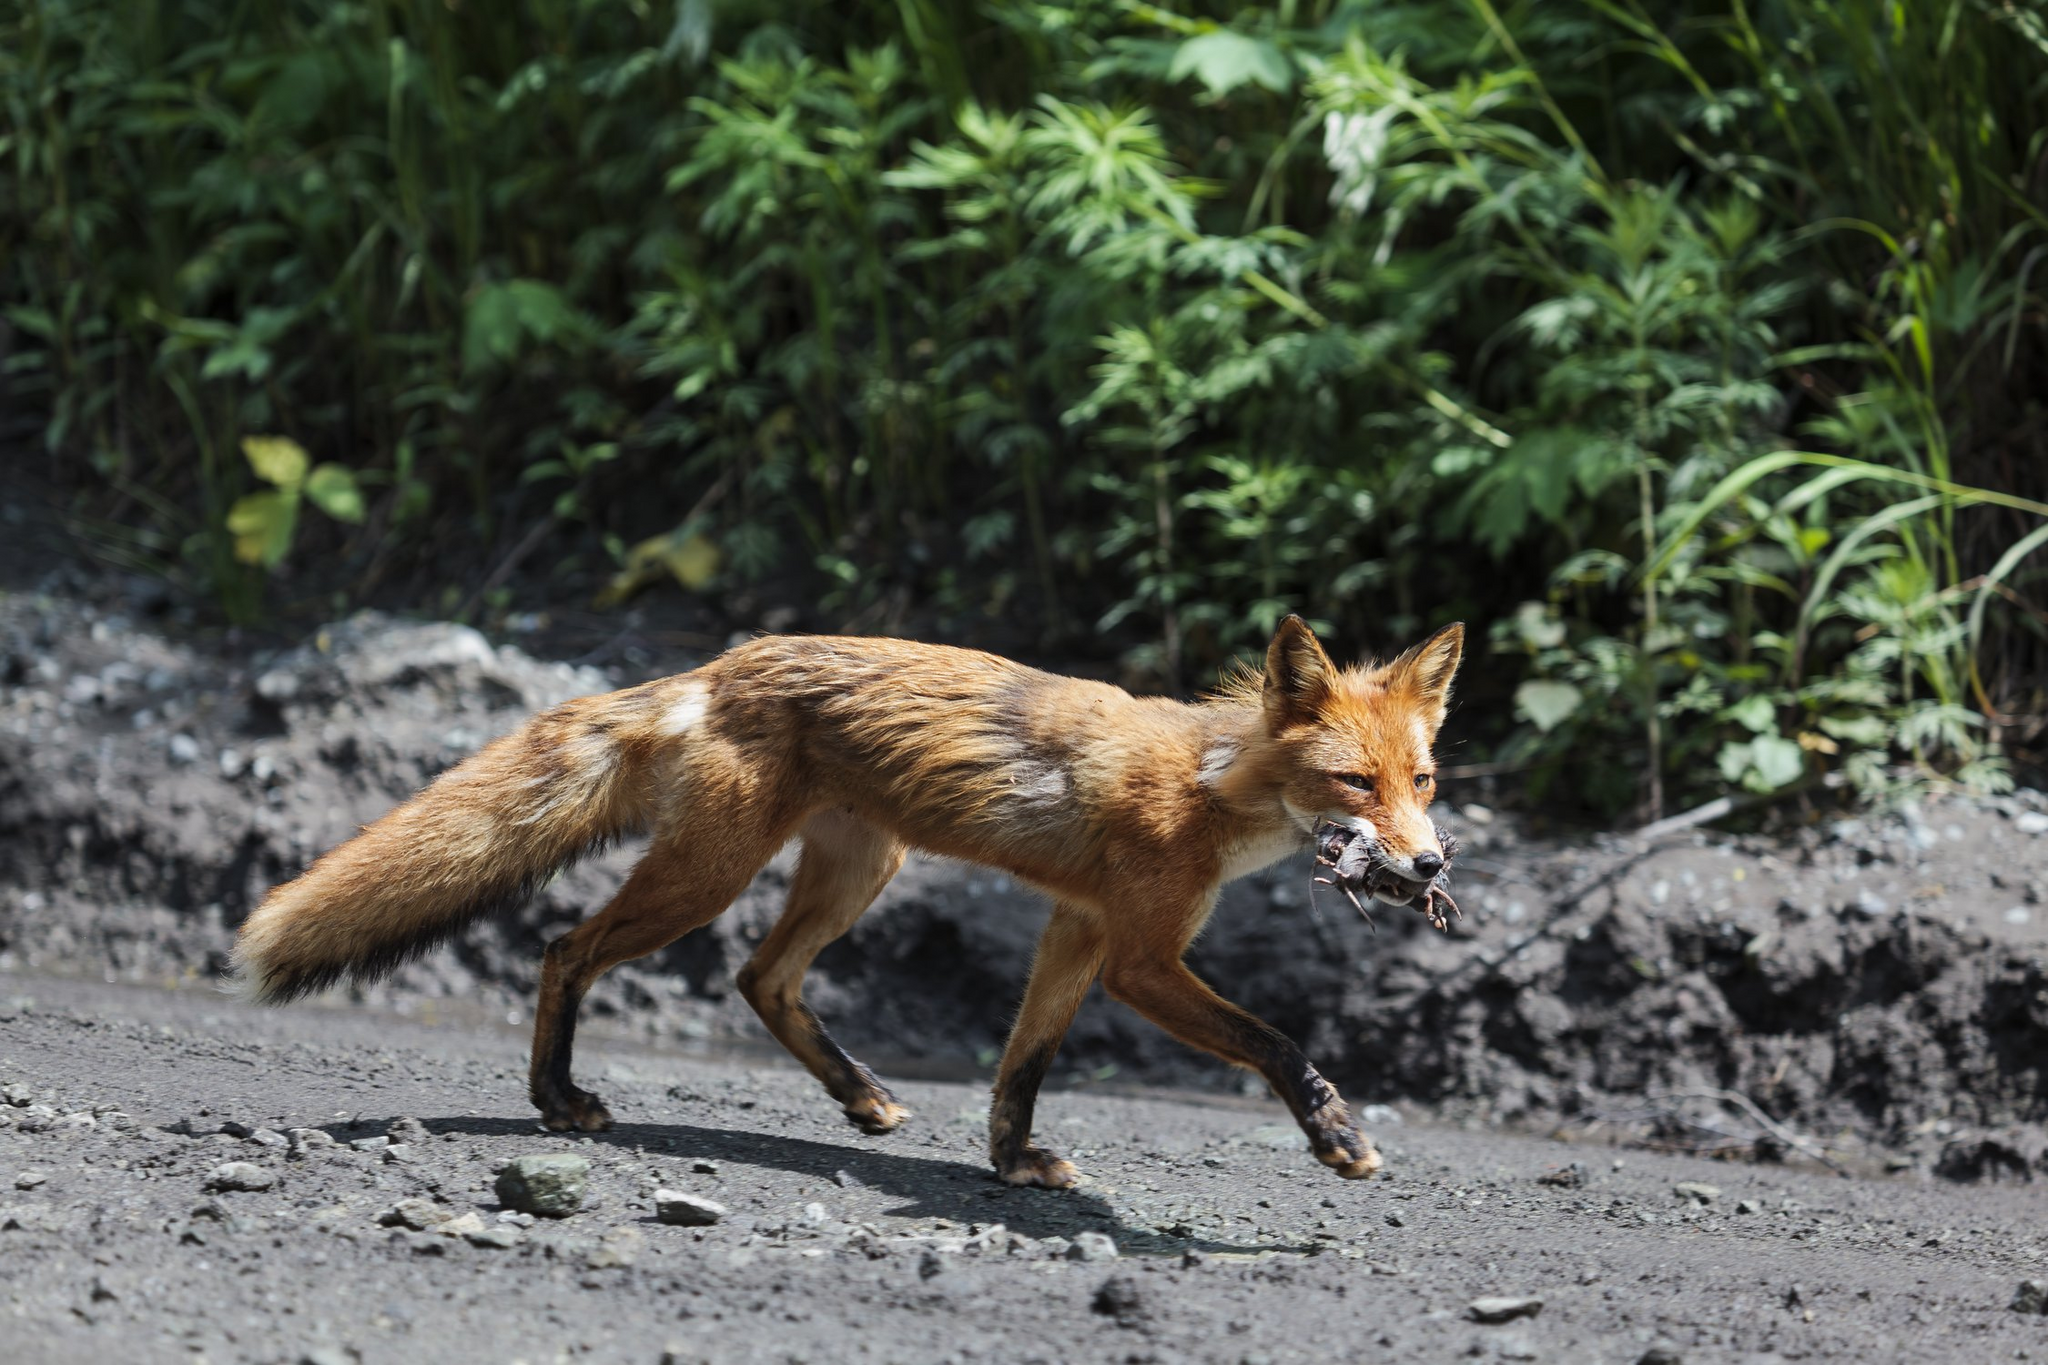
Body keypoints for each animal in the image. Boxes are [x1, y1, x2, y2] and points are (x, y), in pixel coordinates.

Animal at [232, 618, 1466, 1186]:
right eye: (1354, 784)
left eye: (1422, 782)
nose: (1427, 868)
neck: (1212, 783)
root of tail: (719, 665)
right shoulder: (1139, 957)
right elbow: (1276, 1038)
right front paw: (1335, 1133)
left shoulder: (1078, 930)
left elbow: (1022, 1065)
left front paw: (1013, 1163)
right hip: (707, 878)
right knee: (564, 949)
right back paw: (556, 1098)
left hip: (856, 874)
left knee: (760, 977)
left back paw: (862, 1098)